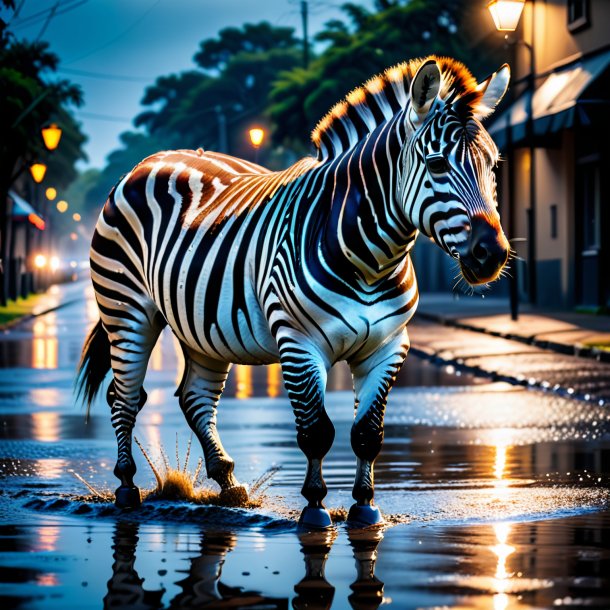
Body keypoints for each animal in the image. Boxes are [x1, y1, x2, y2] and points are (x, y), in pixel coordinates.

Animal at [78, 55, 510, 528]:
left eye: (493, 166)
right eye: (436, 165)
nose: (491, 254)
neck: (372, 260)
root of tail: (147, 161)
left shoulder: (388, 346)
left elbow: (368, 434)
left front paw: (364, 507)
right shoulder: (299, 344)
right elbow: (317, 432)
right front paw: (316, 509)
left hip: (202, 327)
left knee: (195, 398)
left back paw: (228, 484)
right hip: (126, 310)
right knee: (124, 397)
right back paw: (126, 487)